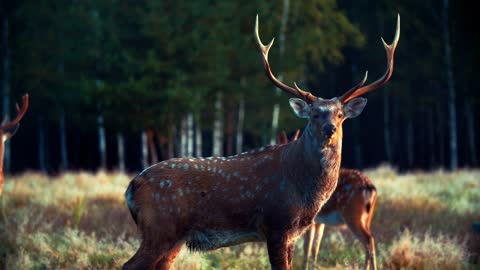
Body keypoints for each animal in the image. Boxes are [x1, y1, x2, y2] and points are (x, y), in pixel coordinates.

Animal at [122, 15, 400, 270]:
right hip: (160, 227)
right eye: (314, 114)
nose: (329, 129)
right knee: (130, 265)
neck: (303, 188)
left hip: (173, 237)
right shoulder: (277, 224)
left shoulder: (293, 233)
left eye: (340, 115)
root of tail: (131, 187)